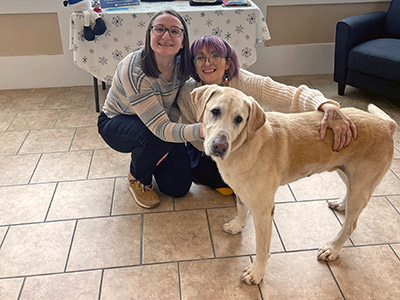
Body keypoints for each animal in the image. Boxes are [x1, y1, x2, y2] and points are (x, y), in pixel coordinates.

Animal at [191, 85, 396, 286]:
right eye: (215, 111)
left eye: (239, 119)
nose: (220, 146)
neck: (242, 146)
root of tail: (387, 125)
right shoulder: (242, 191)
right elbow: (241, 210)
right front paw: (236, 226)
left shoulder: (263, 211)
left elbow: (261, 248)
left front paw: (257, 273)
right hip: (347, 173)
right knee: (349, 195)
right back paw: (341, 204)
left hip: (361, 185)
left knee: (350, 225)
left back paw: (332, 249)